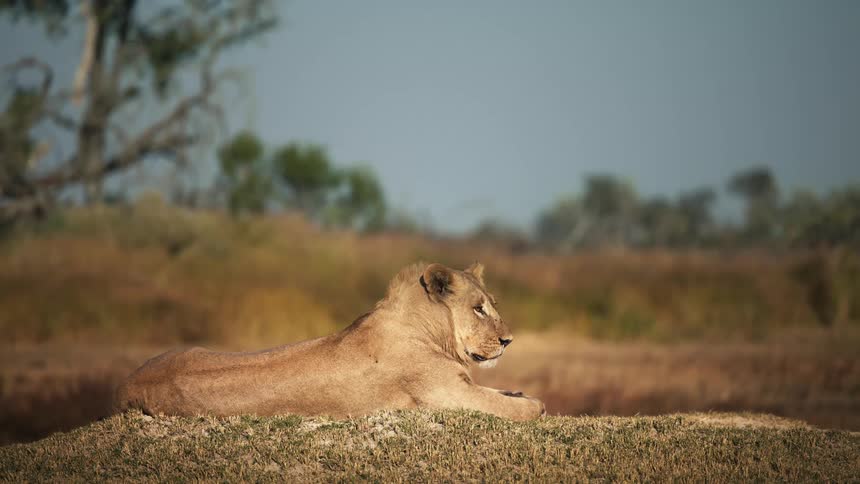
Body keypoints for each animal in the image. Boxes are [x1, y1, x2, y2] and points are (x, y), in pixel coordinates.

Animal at [114, 262, 545, 421]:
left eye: (492, 305)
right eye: (478, 309)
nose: (508, 340)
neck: (429, 330)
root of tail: (122, 387)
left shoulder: (464, 386)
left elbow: (505, 393)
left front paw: (520, 392)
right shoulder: (449, 396)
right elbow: (511, 407)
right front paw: (534, 405)